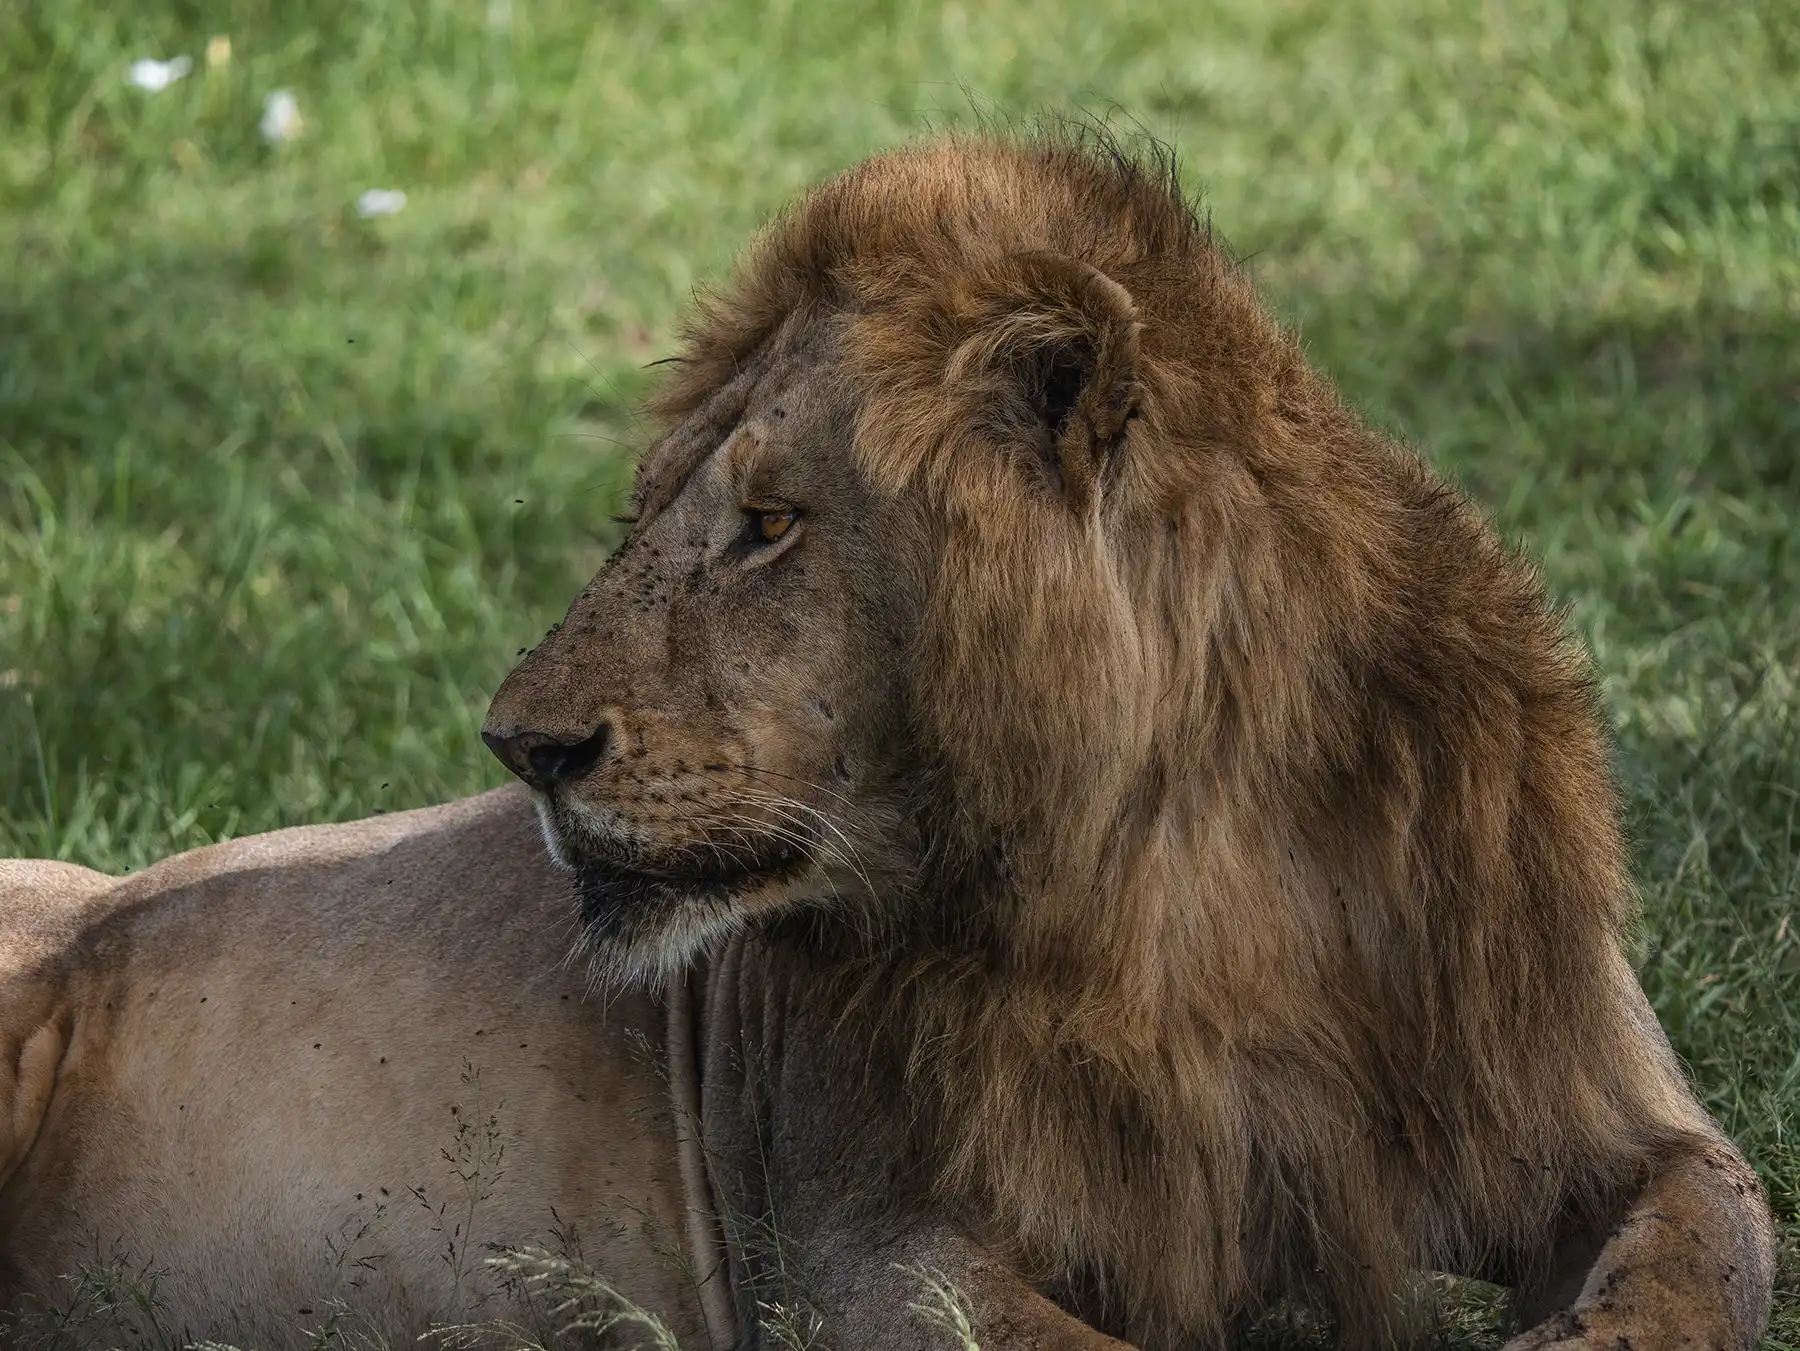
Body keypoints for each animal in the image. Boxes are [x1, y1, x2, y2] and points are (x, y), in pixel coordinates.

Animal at [0, 129, 1771, 1351]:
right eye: (652, 516)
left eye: (769, 523)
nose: (520, 747)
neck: (1180, 886)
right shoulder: (852, 1238)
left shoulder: (1610, 1098)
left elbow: (1698, 1251)